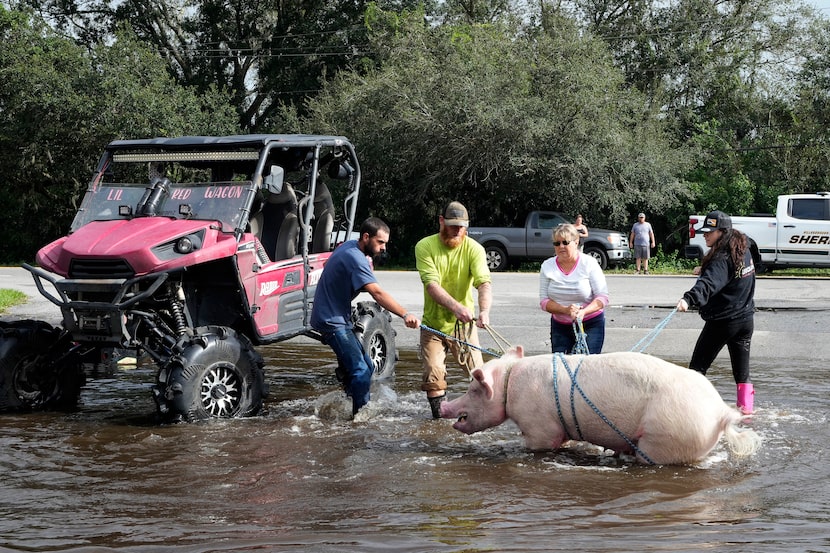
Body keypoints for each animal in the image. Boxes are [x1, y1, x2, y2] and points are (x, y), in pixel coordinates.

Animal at [438, 348, 764, 464]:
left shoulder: (540, 427)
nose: (443, 408)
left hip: (666, 437)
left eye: (473, 389)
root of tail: (720, 413)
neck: (510, 384)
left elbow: (540, 444)